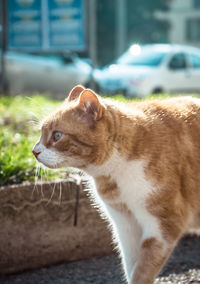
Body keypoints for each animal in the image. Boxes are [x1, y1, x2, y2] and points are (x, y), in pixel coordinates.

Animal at [32, 85, 200, 284]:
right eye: (41, 133)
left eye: (57, 135)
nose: (34, 151)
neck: (114, 176)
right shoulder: (125, 225)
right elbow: (131, 266)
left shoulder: (164, 225)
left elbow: (142, 270)